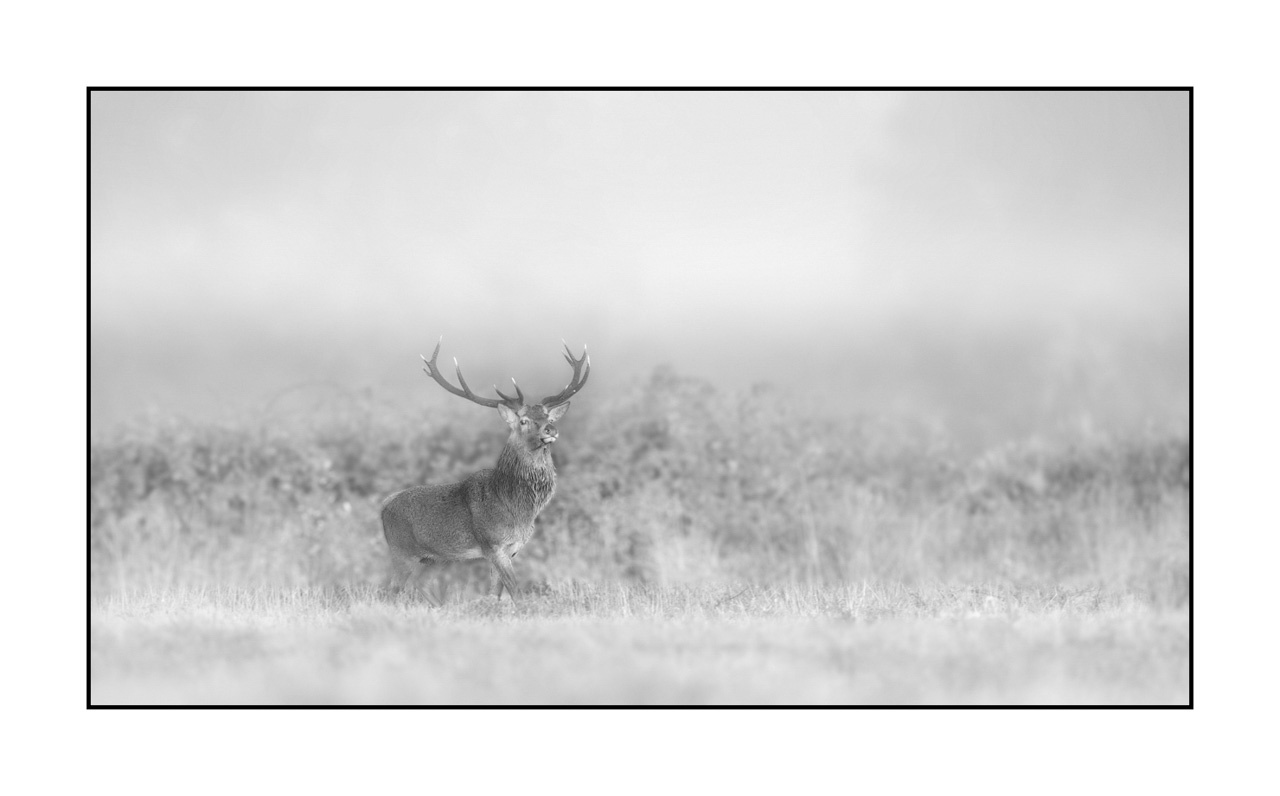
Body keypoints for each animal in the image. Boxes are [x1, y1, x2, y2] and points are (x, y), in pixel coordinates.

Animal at [380, 339, 590, 603]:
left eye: (547, 416)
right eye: (523, 421)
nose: (550, 429)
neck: (518, 508)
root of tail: (384, 505)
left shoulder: (513, 548)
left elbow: (495, 592)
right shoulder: (492, 544)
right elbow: (516, 592)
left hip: (437, 557)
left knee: (420, 584)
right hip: (402, 551)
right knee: (391, 590)